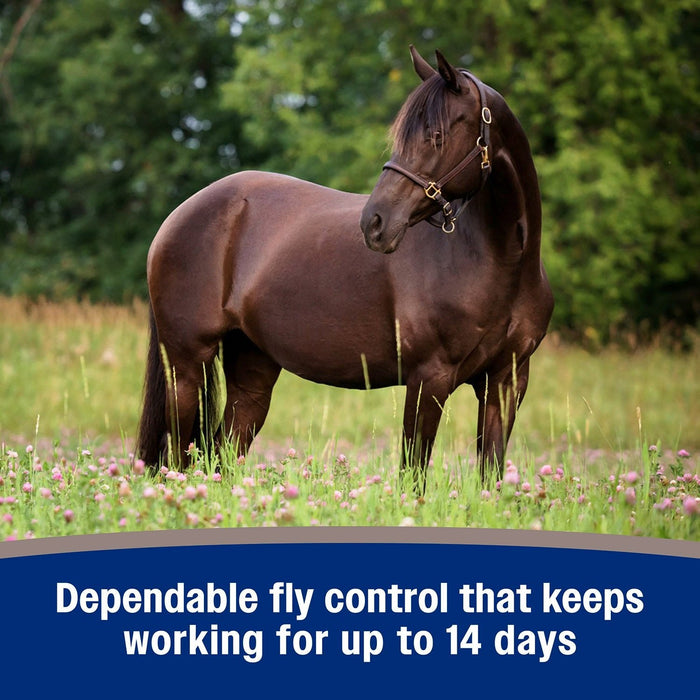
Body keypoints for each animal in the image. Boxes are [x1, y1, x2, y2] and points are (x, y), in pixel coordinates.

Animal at [136, 46, 553, 488]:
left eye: (437, 136)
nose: (375, 223)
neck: (501, 262)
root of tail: (178, 217)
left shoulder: (506, 382)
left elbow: (491, 473)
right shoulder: (429, 377)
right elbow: (413, 474)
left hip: (252, 370)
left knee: (224, 452)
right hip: (186, 367)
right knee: (177, 457)